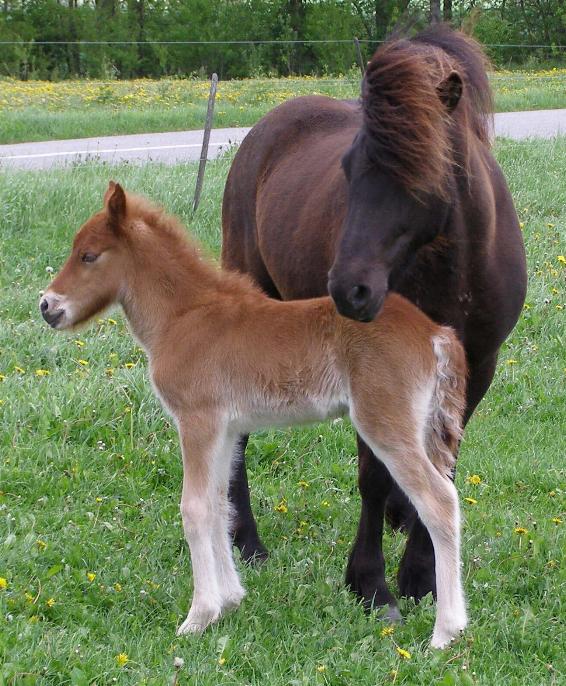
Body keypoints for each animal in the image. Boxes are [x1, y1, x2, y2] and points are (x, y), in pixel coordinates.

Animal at [41, 184, 470, 652]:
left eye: (88, 255)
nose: (47, 306)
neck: (184, 316)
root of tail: (434, 333)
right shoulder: (226, 429)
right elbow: (219, 503)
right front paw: (229, 599)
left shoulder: (197, 421)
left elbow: (194, 507)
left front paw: (198, 616)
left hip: (386, 425)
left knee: (439, 501)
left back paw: (446, 631)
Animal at [221, 26, 528, 620]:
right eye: (347, 167)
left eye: (421, 168)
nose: (350, 289)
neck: (455, 265)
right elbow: (372, 475)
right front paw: (372, 584)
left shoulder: (477, 366)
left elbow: (442, 466)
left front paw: (422, 574)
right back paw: (245, 541)